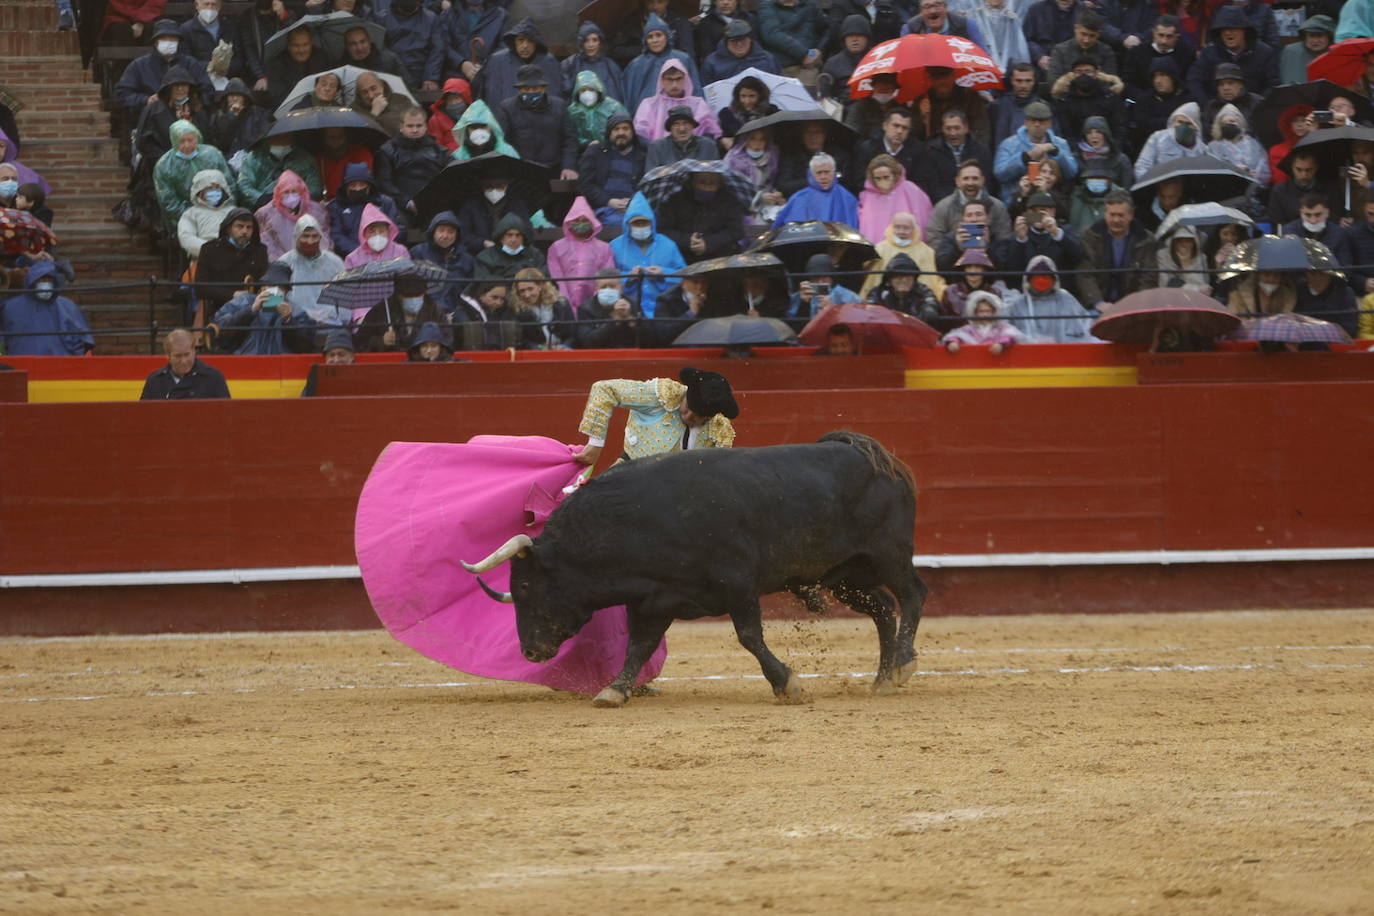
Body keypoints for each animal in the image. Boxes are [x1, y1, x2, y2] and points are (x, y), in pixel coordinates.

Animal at [467, 431, 928, 708]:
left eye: (526, 587)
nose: (530, 651)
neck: (637, 521)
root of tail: (871, 452)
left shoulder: (738, 586)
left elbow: (749, 637)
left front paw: (787, 684)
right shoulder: (652, 601)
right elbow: (639, 646)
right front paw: (614, 690)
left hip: (888, 553)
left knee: (912, 594)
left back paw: (904, 663)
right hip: (847, 575)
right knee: (883, 608)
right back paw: (883, 679)